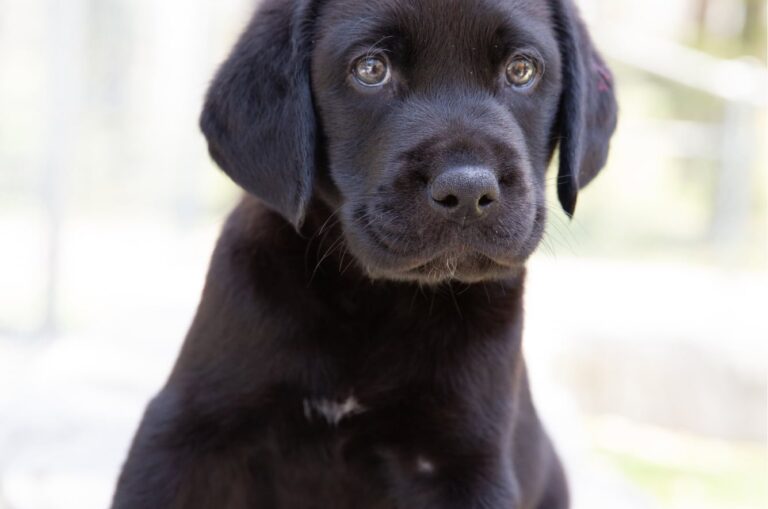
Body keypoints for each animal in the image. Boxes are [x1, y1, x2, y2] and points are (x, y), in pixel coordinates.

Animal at [112, 0, 616, 506]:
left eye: (521, 70)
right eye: (371, 69)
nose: (468, 191)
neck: (371, 299)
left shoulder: (467, 462)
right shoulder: (185, 431)